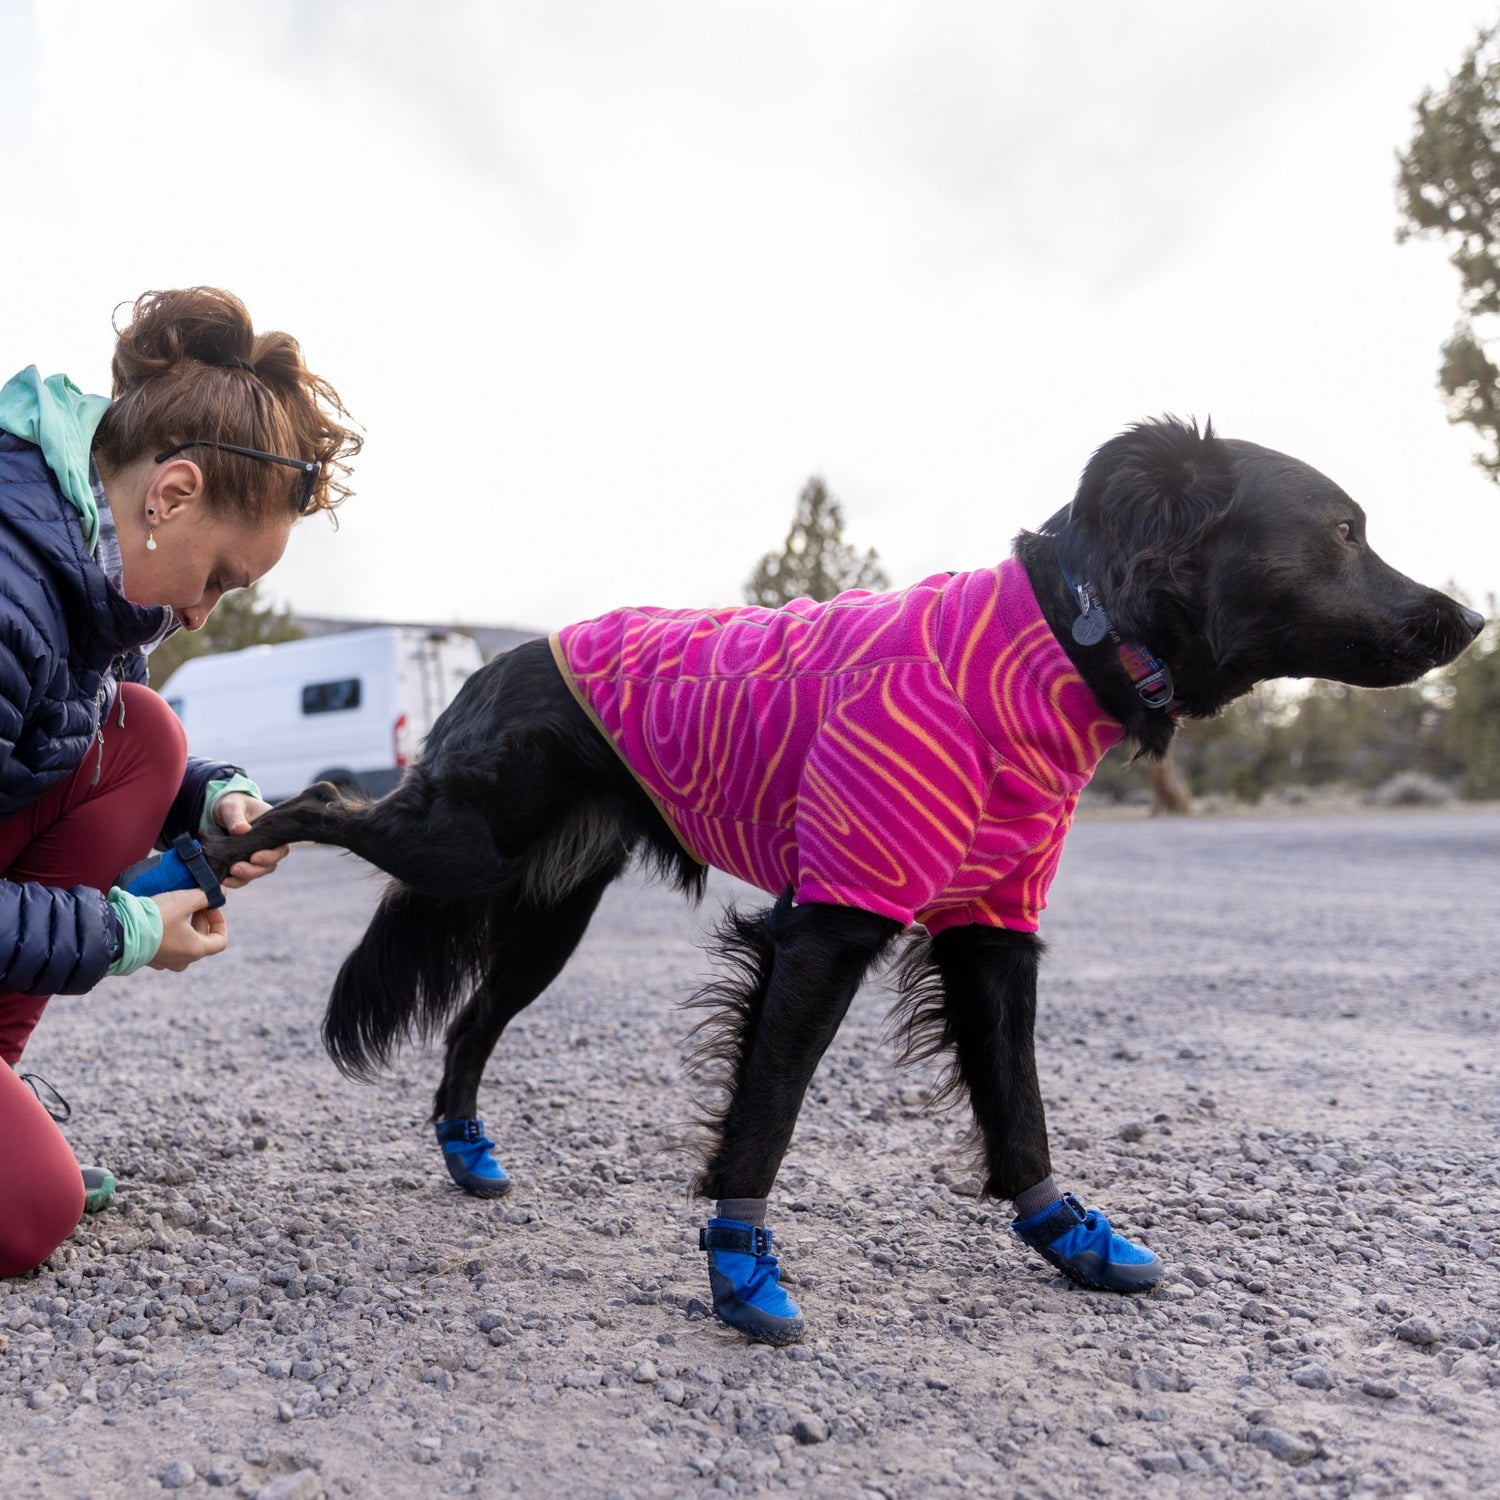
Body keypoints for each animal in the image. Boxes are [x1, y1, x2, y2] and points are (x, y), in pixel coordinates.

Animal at [205, 417, 1482, 1344]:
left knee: (470, 1024)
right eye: (1345, 529)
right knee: (327, 801)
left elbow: (1018, 1105)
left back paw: (467, 1150)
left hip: (548, 917)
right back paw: (221, 838)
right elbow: (767, 1113)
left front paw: (1067, 1235)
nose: (1471, 619)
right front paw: (740, 1271)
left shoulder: (993, 931)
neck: (1057, 639)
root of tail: (492, 658)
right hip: (462, 843)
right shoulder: (830, 920)